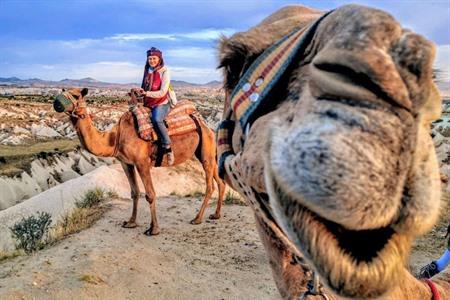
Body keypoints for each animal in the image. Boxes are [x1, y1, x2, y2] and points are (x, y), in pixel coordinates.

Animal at [55, 89, 227, 237]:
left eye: (76, 95)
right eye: (63, 91)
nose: (57, 103)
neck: (116, 137)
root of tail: (206, 125)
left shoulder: (142, 162)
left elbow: (150, 194)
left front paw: (153, 229)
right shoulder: (126, 163)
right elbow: (134, 192)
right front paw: (131, 222)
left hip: (206, 149)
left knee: (210, 185)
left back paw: (197, 218)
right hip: (206, 151)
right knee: (220, 181)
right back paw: (216, 214)